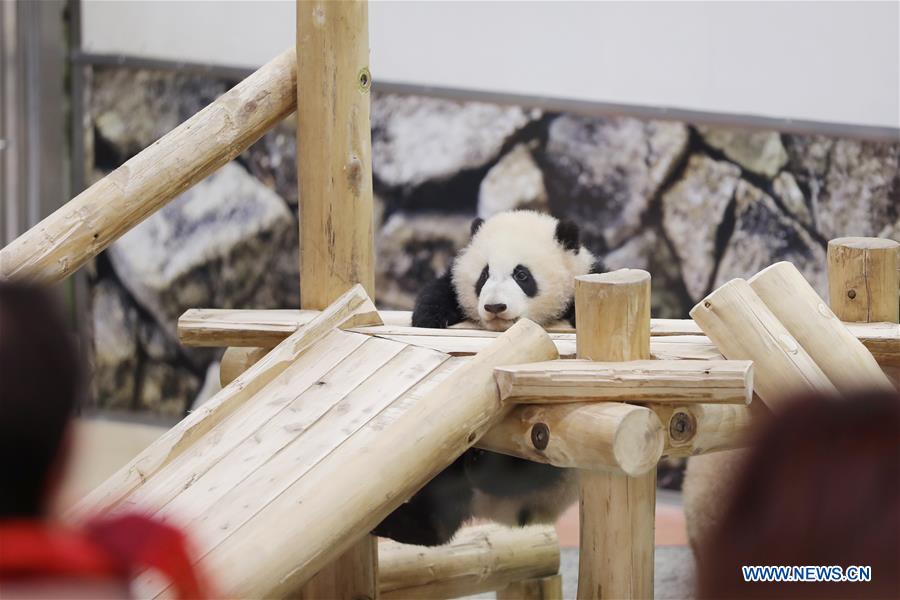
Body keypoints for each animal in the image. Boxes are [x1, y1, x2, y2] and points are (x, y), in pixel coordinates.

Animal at [373, 210, 604, 546]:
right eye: (484, 275)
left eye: (522, 275)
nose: (495, 307)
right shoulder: (453, 287)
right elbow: (438, 294)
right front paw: (430, 318)